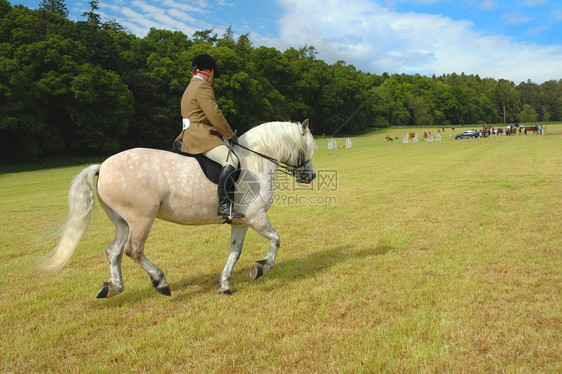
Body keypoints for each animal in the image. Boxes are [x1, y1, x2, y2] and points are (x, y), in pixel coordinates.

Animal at [38, 121, 316, 296]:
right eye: (306, 149)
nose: (311, 176)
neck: (255, 161)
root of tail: (103, 166)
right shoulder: (256, 217)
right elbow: (276, 240)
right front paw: (261, 267)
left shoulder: (240, 222)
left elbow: (234, 253)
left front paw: (225, 284)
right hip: (141, 219)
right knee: (133, 250)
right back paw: (160, 281)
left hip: (122, 222)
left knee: (113, 252)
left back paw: (113, 287)